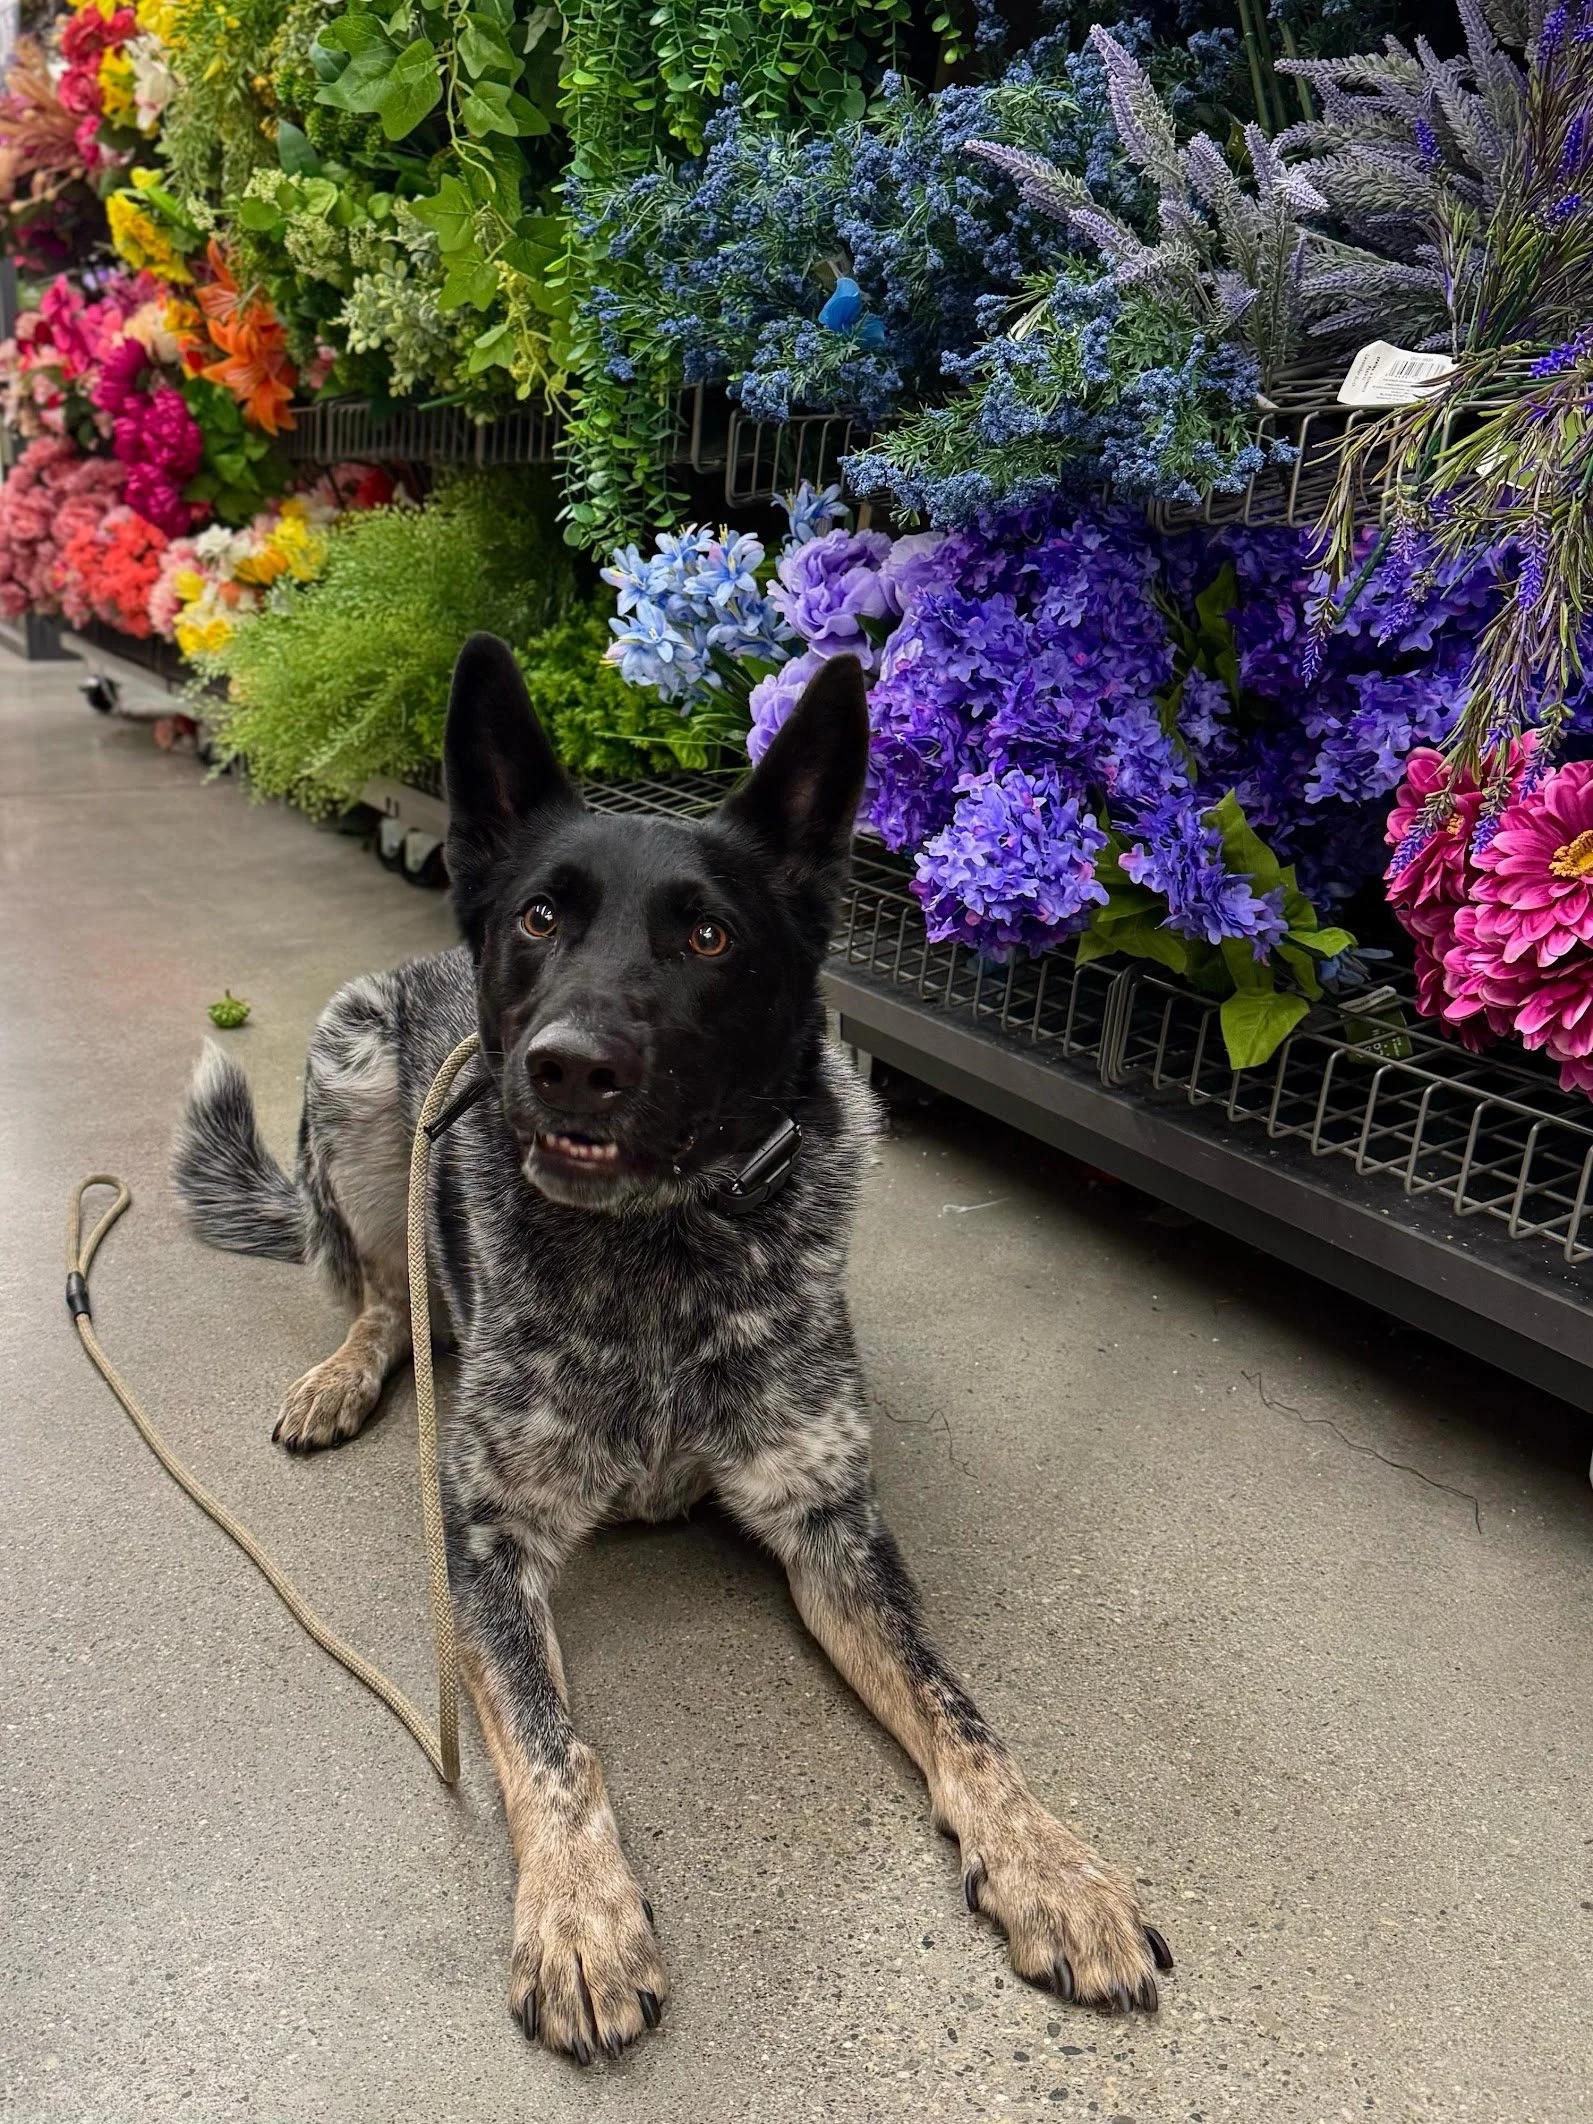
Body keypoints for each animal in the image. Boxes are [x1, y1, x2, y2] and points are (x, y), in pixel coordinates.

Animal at [173, 634, 1171, 2060]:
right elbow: (551, 1745)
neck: (660, 1249)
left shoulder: (832, 1528)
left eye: (707, 935)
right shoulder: (483, 1539)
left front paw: (1050, 1863)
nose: (566, 1066)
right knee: (376, 1290)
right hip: (351, 1071)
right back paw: (347, 1371)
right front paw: (580, 1916)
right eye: (541, 919)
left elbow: (959, 1710)